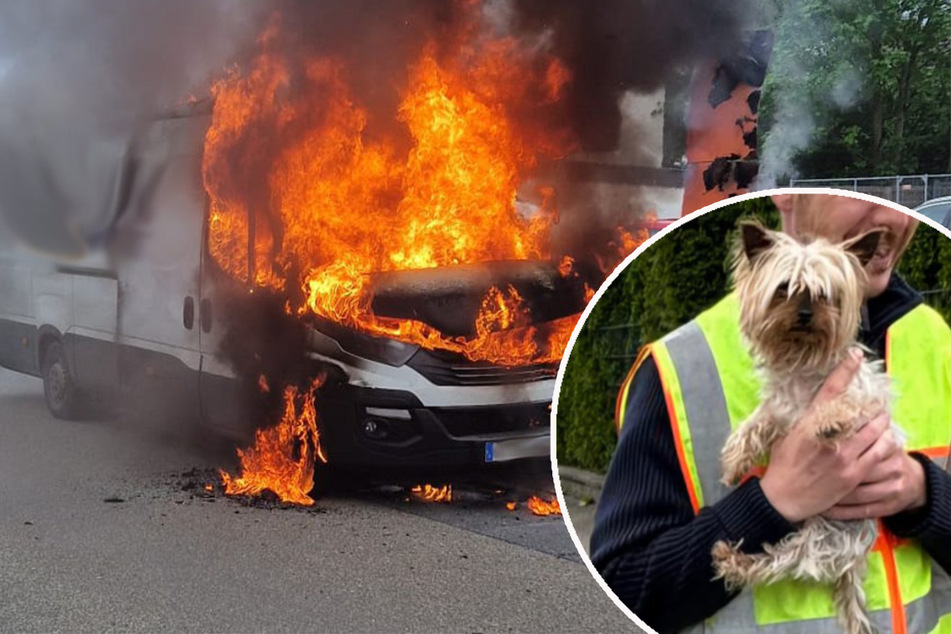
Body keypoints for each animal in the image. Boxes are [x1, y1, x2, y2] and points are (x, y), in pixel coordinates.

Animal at [716, 221, 896, 632]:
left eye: (824, 294)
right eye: (783, 288)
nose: (803, 314)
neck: (803, 363)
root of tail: (853, 564)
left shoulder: (865, 404)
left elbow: (844, 406)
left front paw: (826, 420)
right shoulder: (780, 409)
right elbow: (756, 423)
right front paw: (734, 462)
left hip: (819, 542)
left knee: (780, 563)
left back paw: (736, 561)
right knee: (771, 564)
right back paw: (730, 559)